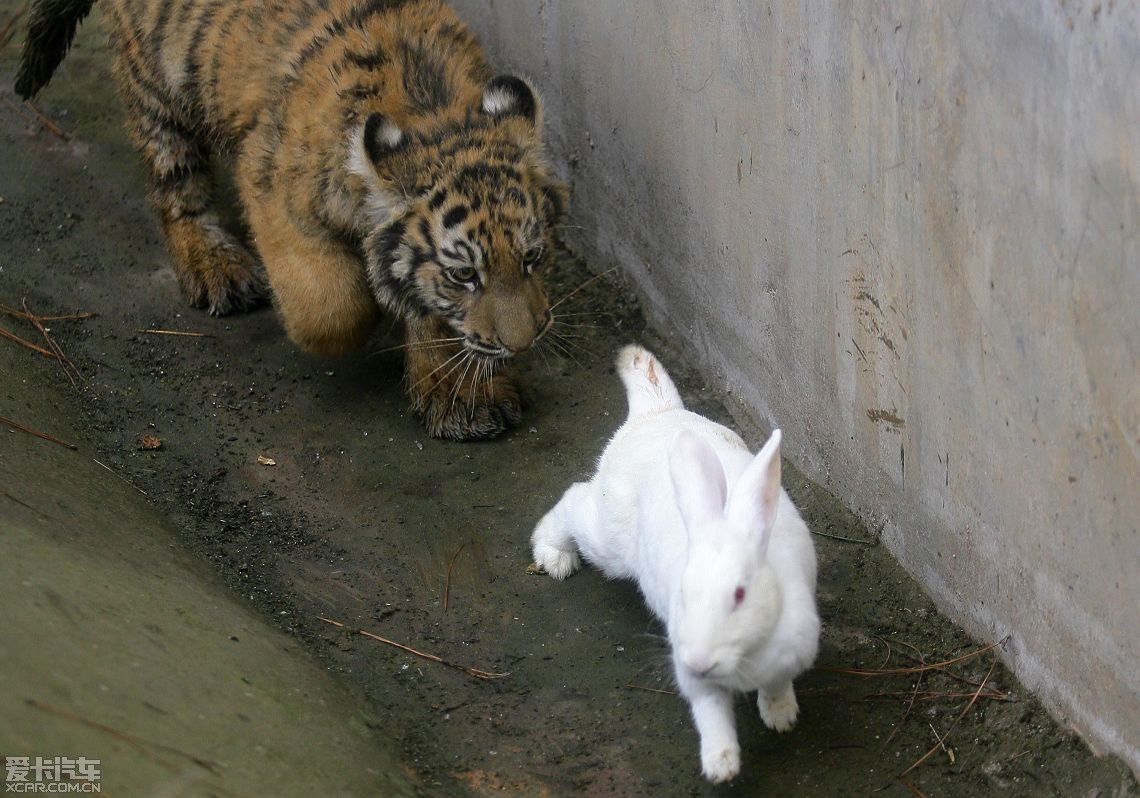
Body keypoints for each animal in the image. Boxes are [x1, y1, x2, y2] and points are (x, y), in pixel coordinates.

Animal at [528, 344, 816, 784]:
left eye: (739, 594)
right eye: (683, 593)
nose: (699, 660)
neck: (744, 654)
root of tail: (658, 412)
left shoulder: (792, 650)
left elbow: (778, 684)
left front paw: (781, 715)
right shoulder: (696, 678)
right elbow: (711, 712)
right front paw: (721, 765)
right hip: (607, 536)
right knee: (574, 500)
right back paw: (552, 555)